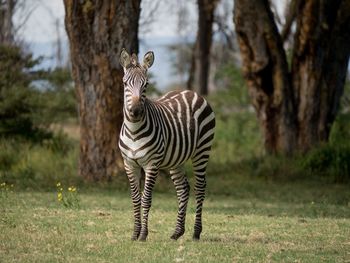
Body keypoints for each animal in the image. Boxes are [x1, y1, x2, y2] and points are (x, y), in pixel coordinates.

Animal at [119, 49, 215, 241]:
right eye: (125, 83)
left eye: (146, 84)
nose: (136, 112)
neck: (133, 132)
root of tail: (191, 92)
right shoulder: (129, 164)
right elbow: (135, 199)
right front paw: (135, 234)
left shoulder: (152, 164)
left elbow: (146, 199)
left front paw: (143, 235)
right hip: (176, 159)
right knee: (183, 189)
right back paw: (177, 232)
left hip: (202, 151)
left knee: (200, 187)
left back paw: (196, 232)